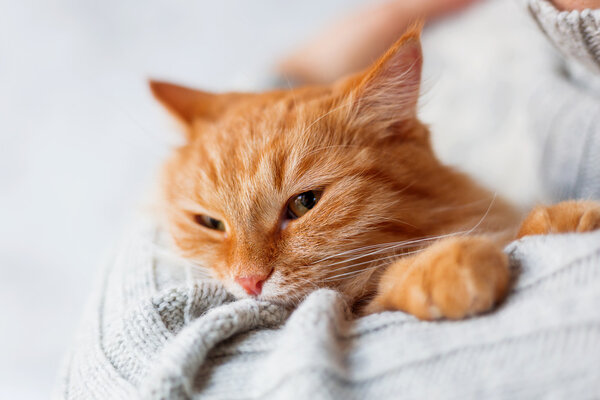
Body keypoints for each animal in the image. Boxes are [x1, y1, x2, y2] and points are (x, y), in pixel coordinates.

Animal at [150, 23, 600, 320]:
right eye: (210, 223)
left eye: (305, 203)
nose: (248, 282)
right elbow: (383, 282)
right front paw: (445, 265)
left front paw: (568, 217)